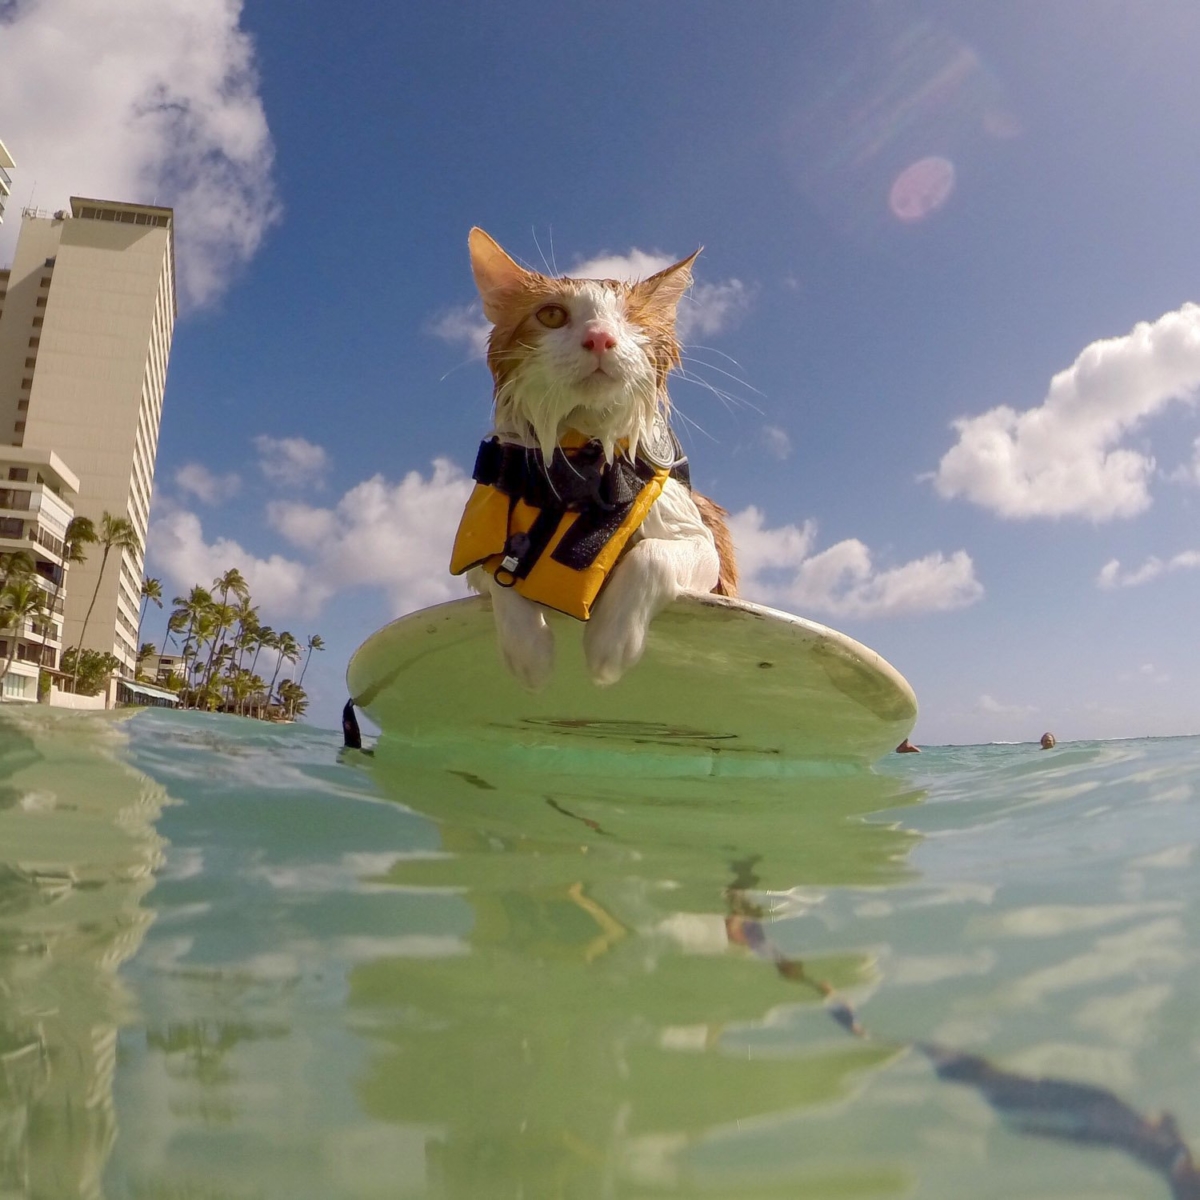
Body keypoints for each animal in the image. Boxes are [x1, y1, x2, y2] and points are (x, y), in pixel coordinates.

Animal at [451, 228, 734, 691]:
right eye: (551, 315)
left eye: (631, 320)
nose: (601, 337)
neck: (581, 462)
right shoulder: (474, 553)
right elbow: (498, 569)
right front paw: (530, 651)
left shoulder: (702, 545)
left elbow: (651, 553)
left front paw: (610, 641)